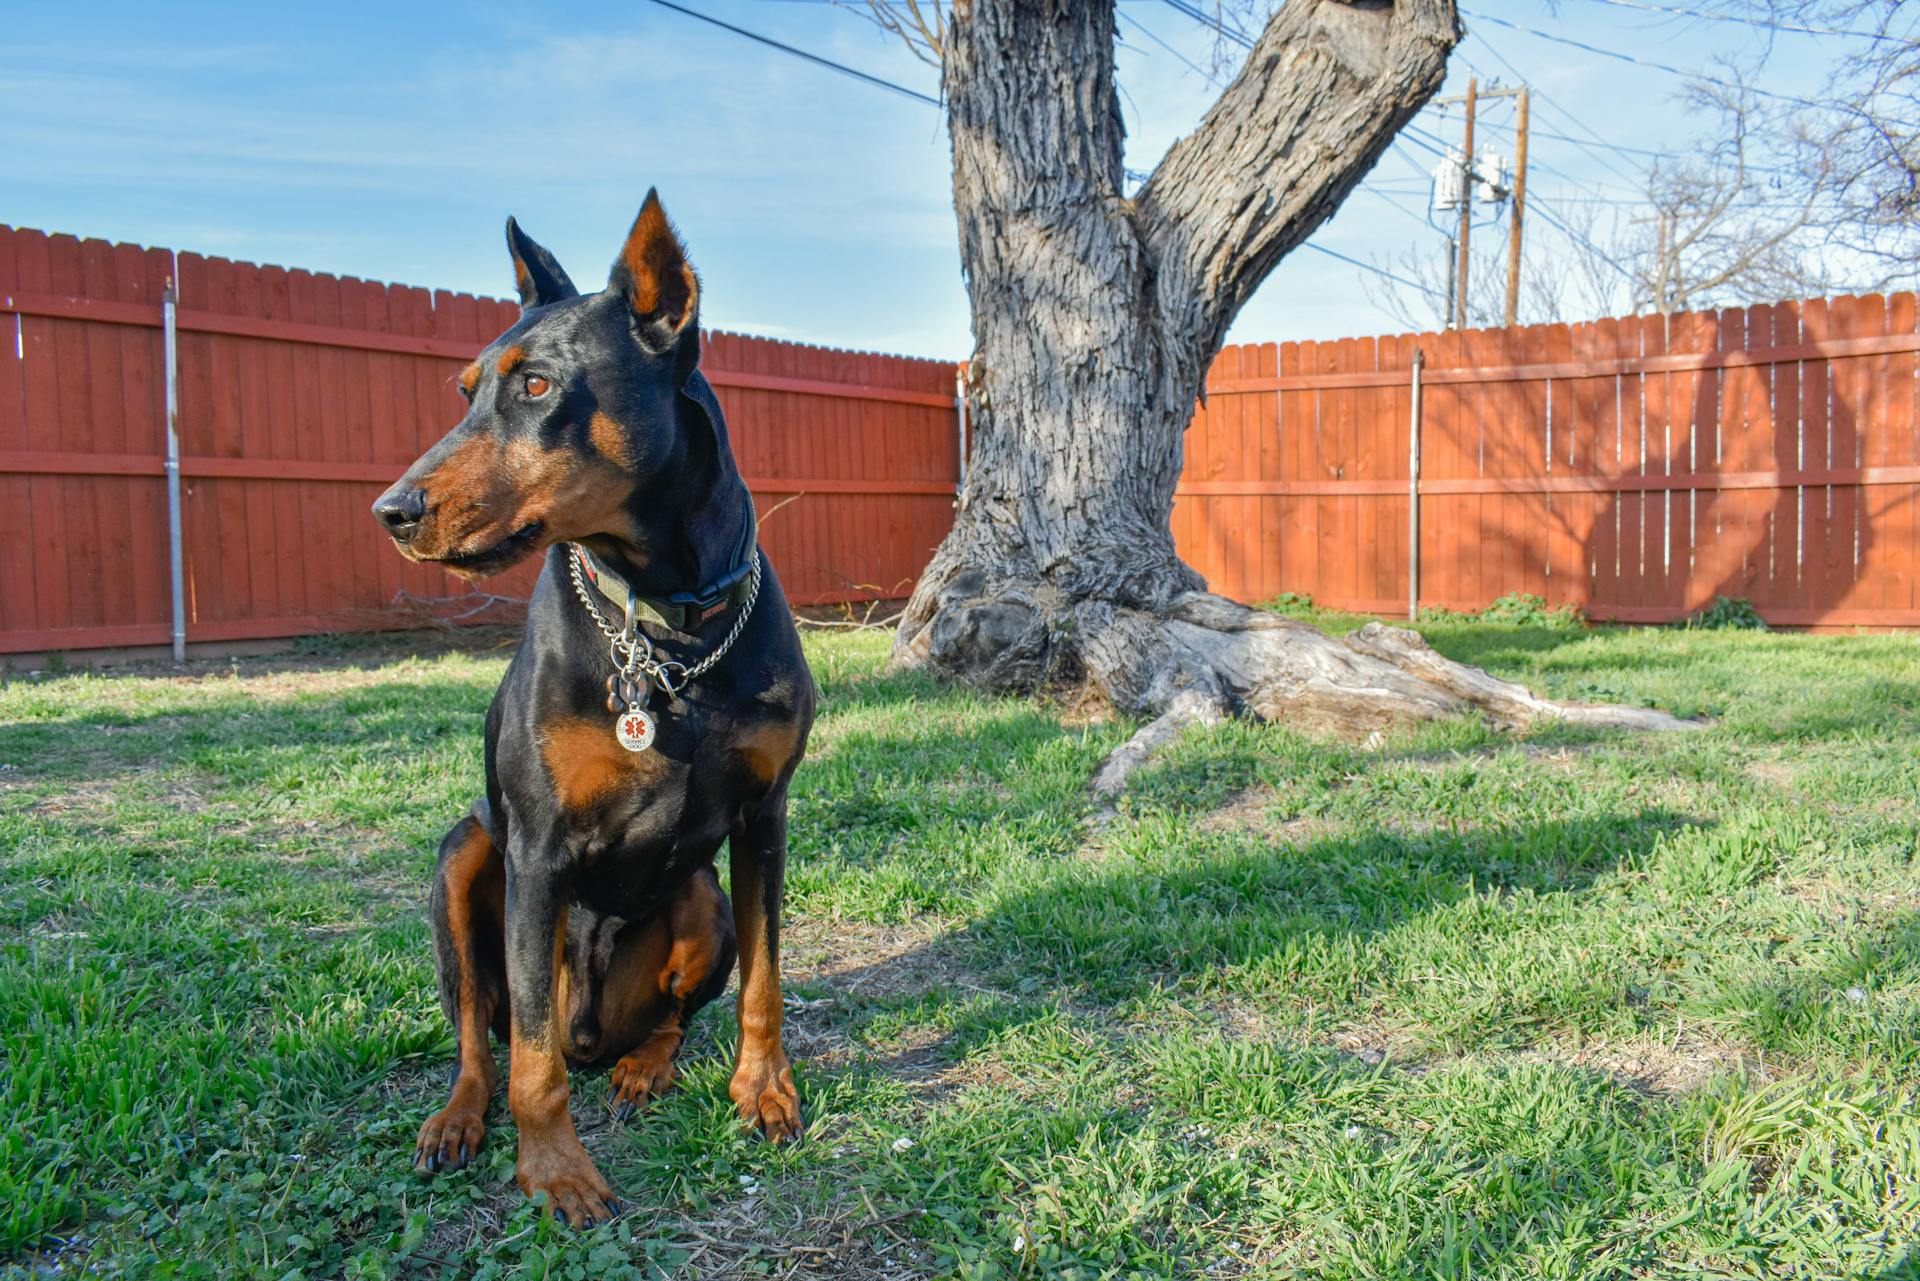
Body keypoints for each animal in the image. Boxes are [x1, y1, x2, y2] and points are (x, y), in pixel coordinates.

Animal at [370, 193, 814, 1229]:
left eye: (537, 385)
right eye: (465, 392)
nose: (392, 510)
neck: (665, 626)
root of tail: (596, 1035)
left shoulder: (764, 818)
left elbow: (766, 980)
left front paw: (764, 1089)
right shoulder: (537, 848)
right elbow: (529, 1053)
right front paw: (555, 1170)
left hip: (702, 900)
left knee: (668, 1018)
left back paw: (645, 1067)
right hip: (465, 856)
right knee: (482, 1034)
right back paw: (459, 1118)